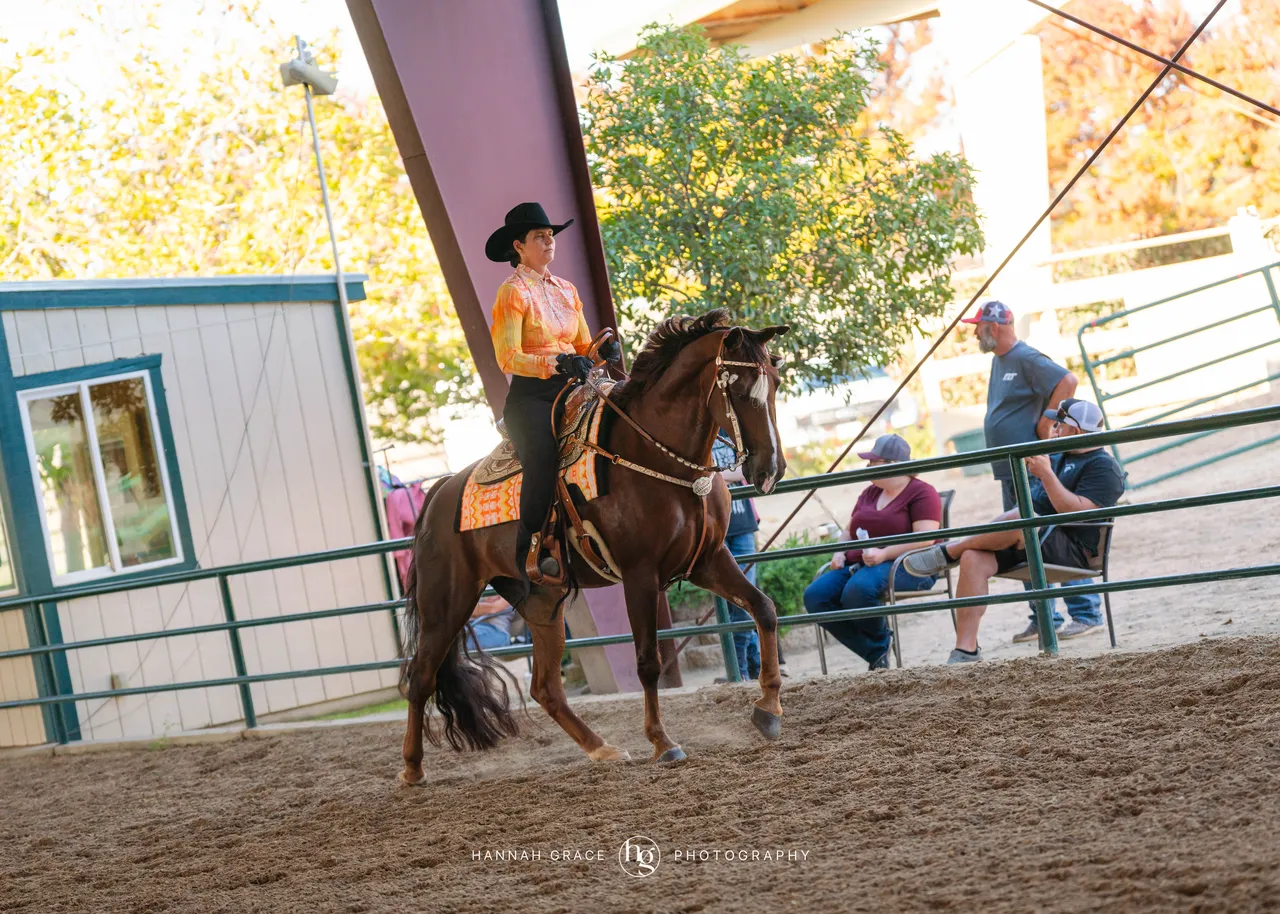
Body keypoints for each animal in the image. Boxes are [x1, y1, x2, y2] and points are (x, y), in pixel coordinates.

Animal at [397, 309, 789, 784]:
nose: (770, 469)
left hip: (542, 605)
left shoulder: (708, 561)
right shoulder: (640, 574)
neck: (655, 455)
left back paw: (602, 749)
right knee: (420, 677)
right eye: (737, 387)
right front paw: (662, 742)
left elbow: (763, 608)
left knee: (545, 687)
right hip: (446, 603)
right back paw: (412, 769)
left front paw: (768, 709)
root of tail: (438, 493)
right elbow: (647, 661)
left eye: (775, 382)